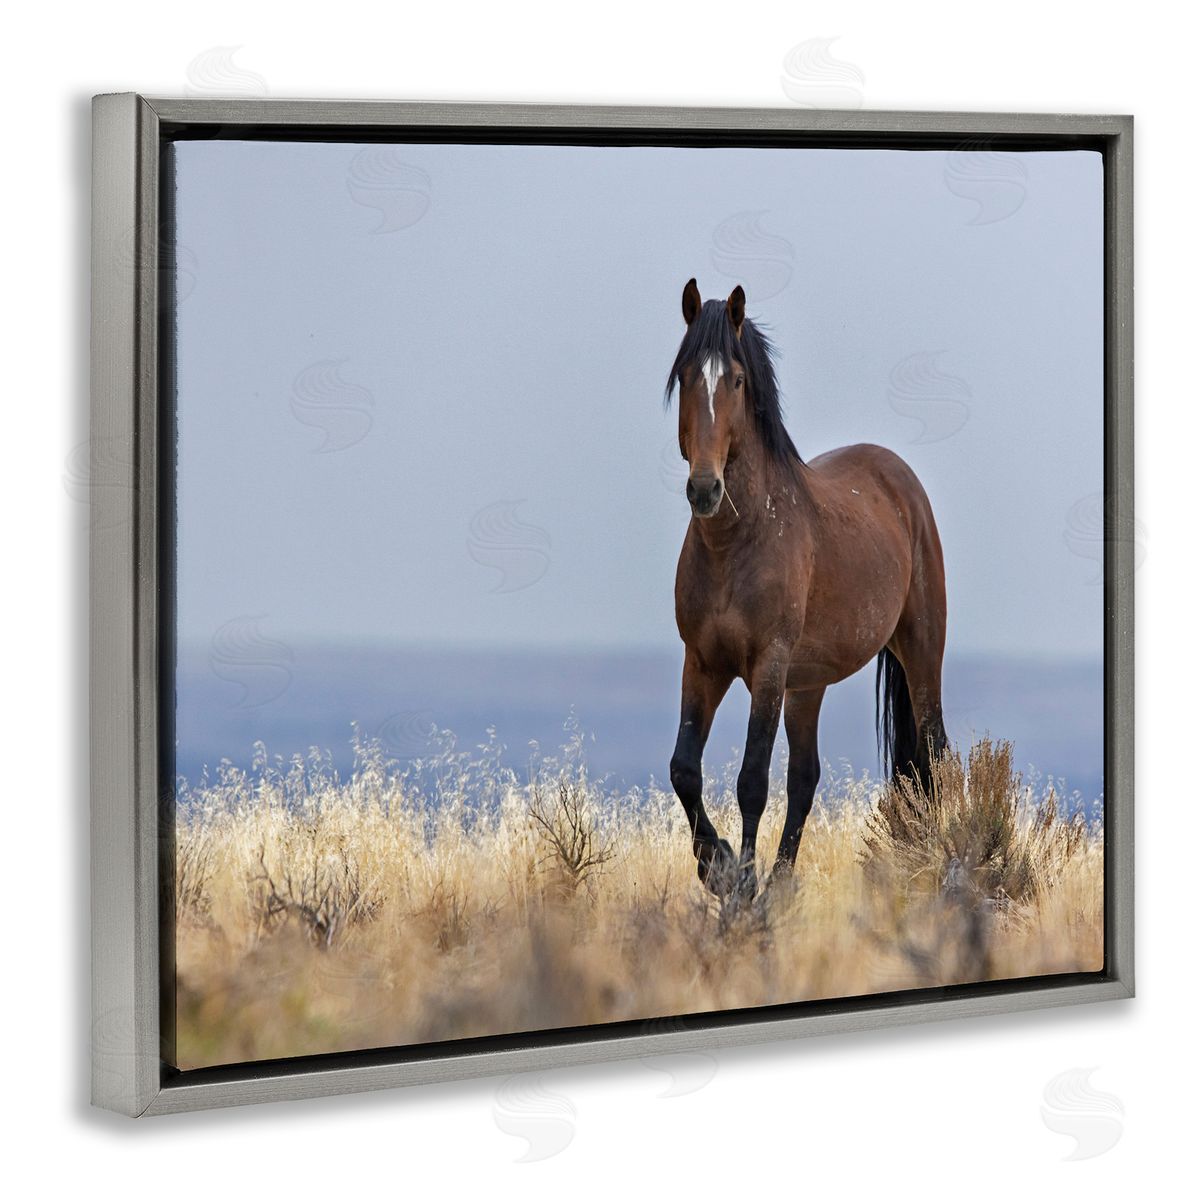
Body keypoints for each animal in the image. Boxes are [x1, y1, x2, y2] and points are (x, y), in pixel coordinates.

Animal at [666, 278, 949, 900]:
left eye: (736, 380)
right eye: (687, 375)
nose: (705, 489)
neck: (737, 543)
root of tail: (901, 480)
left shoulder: (767, 667)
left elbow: (751, 780)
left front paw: (741, 887)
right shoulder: (702, 663)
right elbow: (683, 770)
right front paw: (718, 865)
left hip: (920, 653)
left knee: (935, 753)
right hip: (807, 684)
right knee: (805, 777)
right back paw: (782, 883)